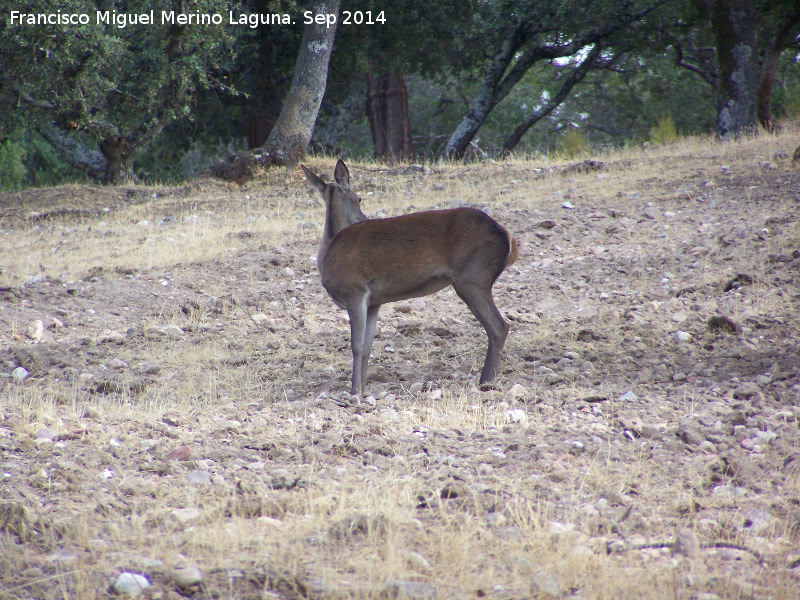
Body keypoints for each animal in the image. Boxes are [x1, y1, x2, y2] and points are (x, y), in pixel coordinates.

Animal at [302, 159, 520, 398]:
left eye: (360, 198)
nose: (364, 219)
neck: (329, 247)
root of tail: (508, 237)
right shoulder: (374, 302)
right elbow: (368, 347)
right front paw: (364, 389)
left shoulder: (355, 290)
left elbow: (356, 345)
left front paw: (355, 392)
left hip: (473, 277)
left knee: (499, 326)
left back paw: (486, 382)